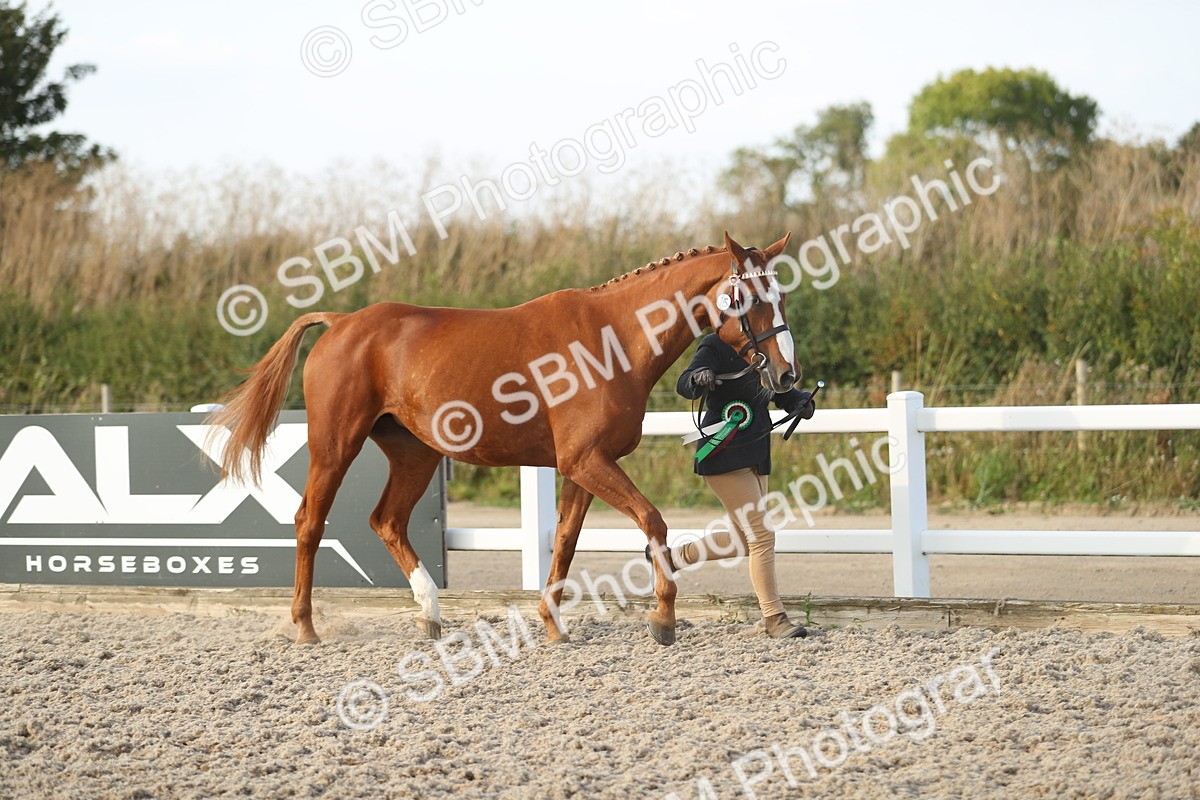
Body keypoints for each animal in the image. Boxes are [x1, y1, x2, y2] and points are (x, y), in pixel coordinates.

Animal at [210, 231, 800, 646]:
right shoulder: (588, 462)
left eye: (781, 297)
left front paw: (554, 627)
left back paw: (430, 615)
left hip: (415, 454)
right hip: (336, 445)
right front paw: (663, 617)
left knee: (387, 521)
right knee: (309, 522)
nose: (787, 375)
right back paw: (306, 628)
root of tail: (341, 321)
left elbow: (564, 542)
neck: (610, 342)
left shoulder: (581, 467)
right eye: (749, 299)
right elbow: (653, 522)